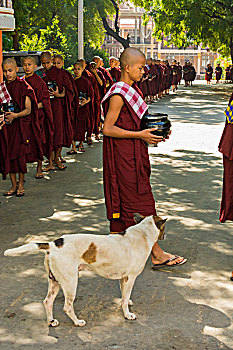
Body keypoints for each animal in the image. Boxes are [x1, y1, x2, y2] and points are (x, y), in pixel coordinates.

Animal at [4, 215, 167, 326]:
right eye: (164, 228)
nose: (165, 235)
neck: (142, 233)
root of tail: (53, 244)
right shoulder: (130, 277)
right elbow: (125, 299)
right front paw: (127, 314)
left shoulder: (123, 278)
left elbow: (124, 296)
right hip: (70, 283)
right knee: (67, 307)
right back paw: (77, 322)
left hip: (54, 282)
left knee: (48, 301)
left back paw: (51, 321)